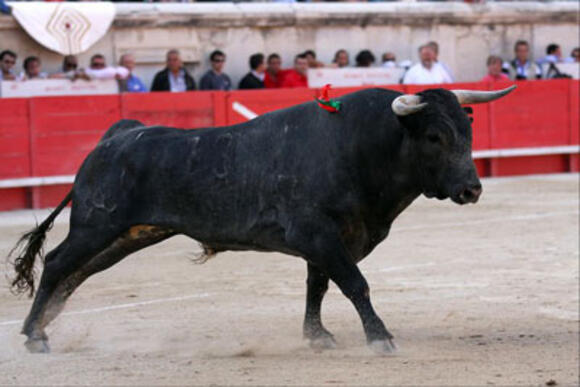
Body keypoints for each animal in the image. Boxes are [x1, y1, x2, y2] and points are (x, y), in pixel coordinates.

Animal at [10, 85, 516, 354]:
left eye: (467, 131)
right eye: (433, 136)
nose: (471, 189)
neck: (362, 147)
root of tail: (115, 137)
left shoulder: (328, 241)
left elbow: (319, 286)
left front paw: (317, 336)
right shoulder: (319, 234)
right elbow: (355, 284)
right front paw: (380, 338)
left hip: (129, 235)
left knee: (76, 274)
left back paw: (42, 326)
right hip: (96, 225)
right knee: (58, 264)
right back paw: (34, 335)